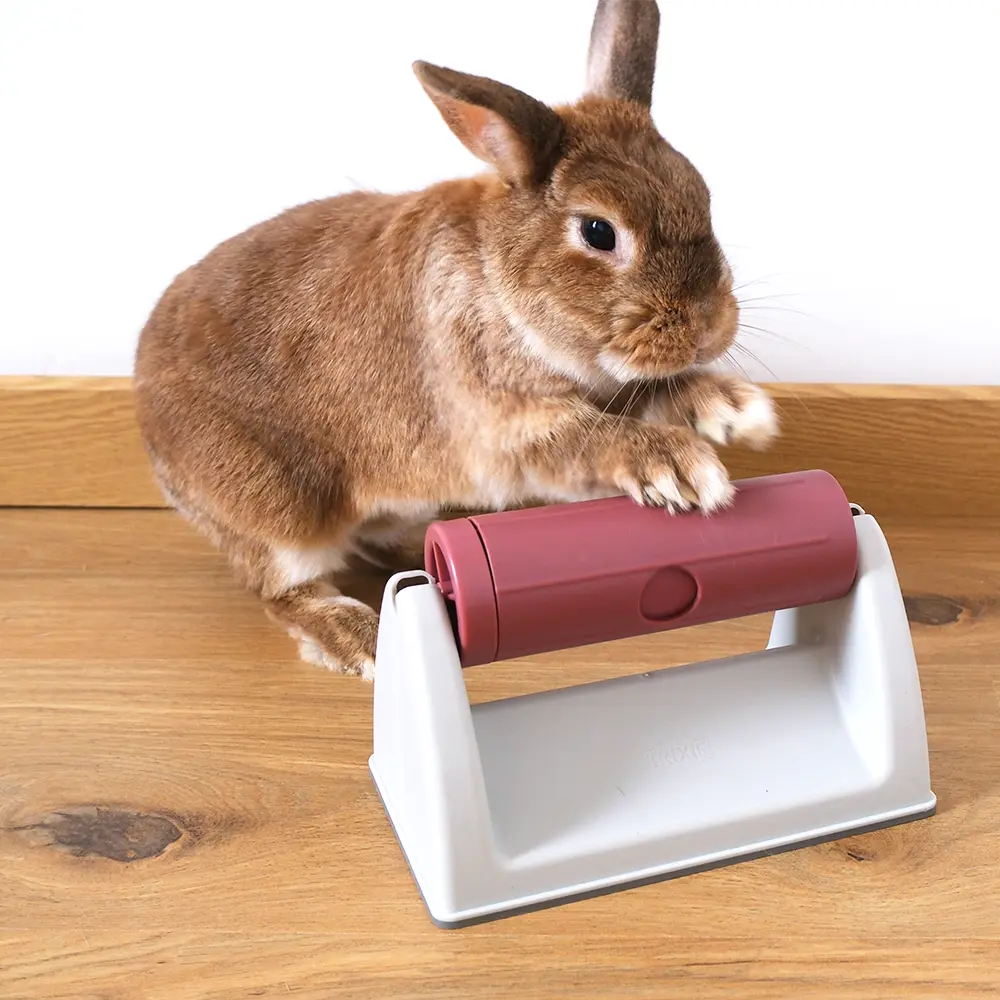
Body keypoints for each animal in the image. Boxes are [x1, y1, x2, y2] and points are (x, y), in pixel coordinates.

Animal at [133, 0, 779, 681]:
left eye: (702, 195)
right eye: (598, 231)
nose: (710, 324)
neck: (500, 285)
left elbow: (660, 395)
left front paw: (738, 410)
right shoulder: (508, 428)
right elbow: (594, 439)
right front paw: (680, 469)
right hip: (276, 514)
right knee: (284, 590)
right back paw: (363, 639)